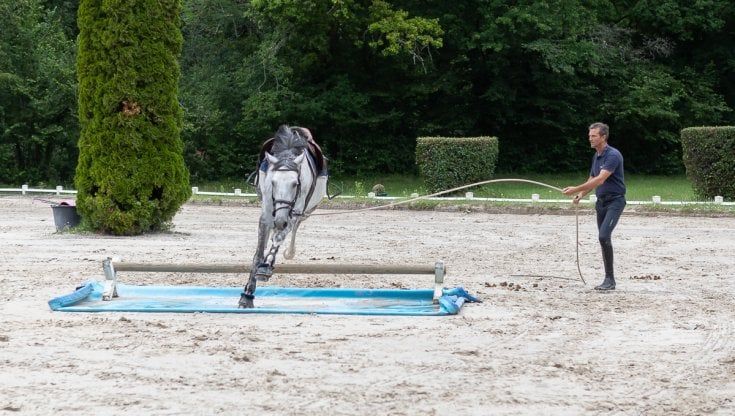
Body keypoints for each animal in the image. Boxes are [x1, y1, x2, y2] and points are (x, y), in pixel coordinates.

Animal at [239, 125, 328, 308]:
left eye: (296, 184)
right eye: (272, 182)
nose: (280, 220)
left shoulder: (294, 212)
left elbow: (280, 237)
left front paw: (266, 266)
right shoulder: (266, 214)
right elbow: (258, 254)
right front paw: (247, 295)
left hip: (307, 211)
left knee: (293, 229)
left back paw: (288, 251)